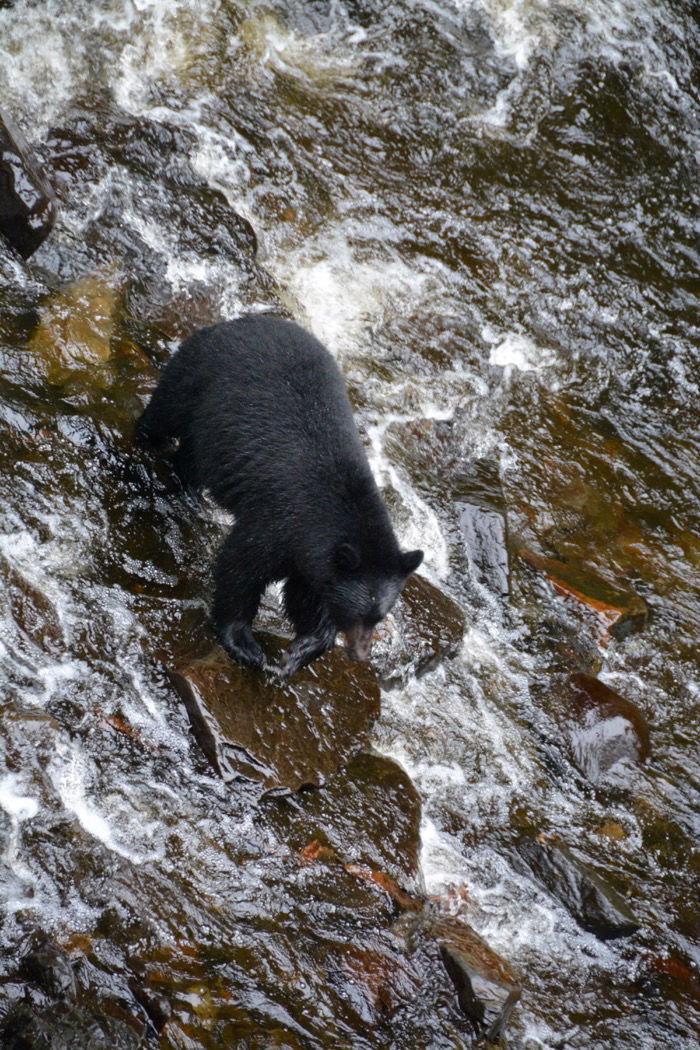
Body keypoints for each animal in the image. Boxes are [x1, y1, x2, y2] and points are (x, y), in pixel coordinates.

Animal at [135, 312, 421, 672]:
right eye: (356, 613)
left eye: (379, 616)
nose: (359, 654)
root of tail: (244, 321)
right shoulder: (282, 521)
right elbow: (241, 566)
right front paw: (244, 644)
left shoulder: (312, 559)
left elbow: (304, 595)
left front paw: (303, 649)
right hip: (197, 373)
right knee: (166, 411)